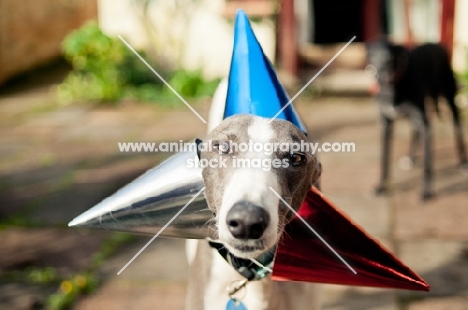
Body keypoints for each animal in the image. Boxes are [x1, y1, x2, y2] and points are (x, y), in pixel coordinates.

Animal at [368, 40, 466, 200]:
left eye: (390, 59)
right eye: (373, 57)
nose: (379, 78)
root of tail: (435, 44)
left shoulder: (425, 124)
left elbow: (427, 164)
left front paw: (427, 191)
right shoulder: (386, 125)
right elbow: (384, 159)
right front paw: (381, 187)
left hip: (450, 99)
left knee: (457, 130)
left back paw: (463, 163)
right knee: (416, 131)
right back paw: (411, 158)